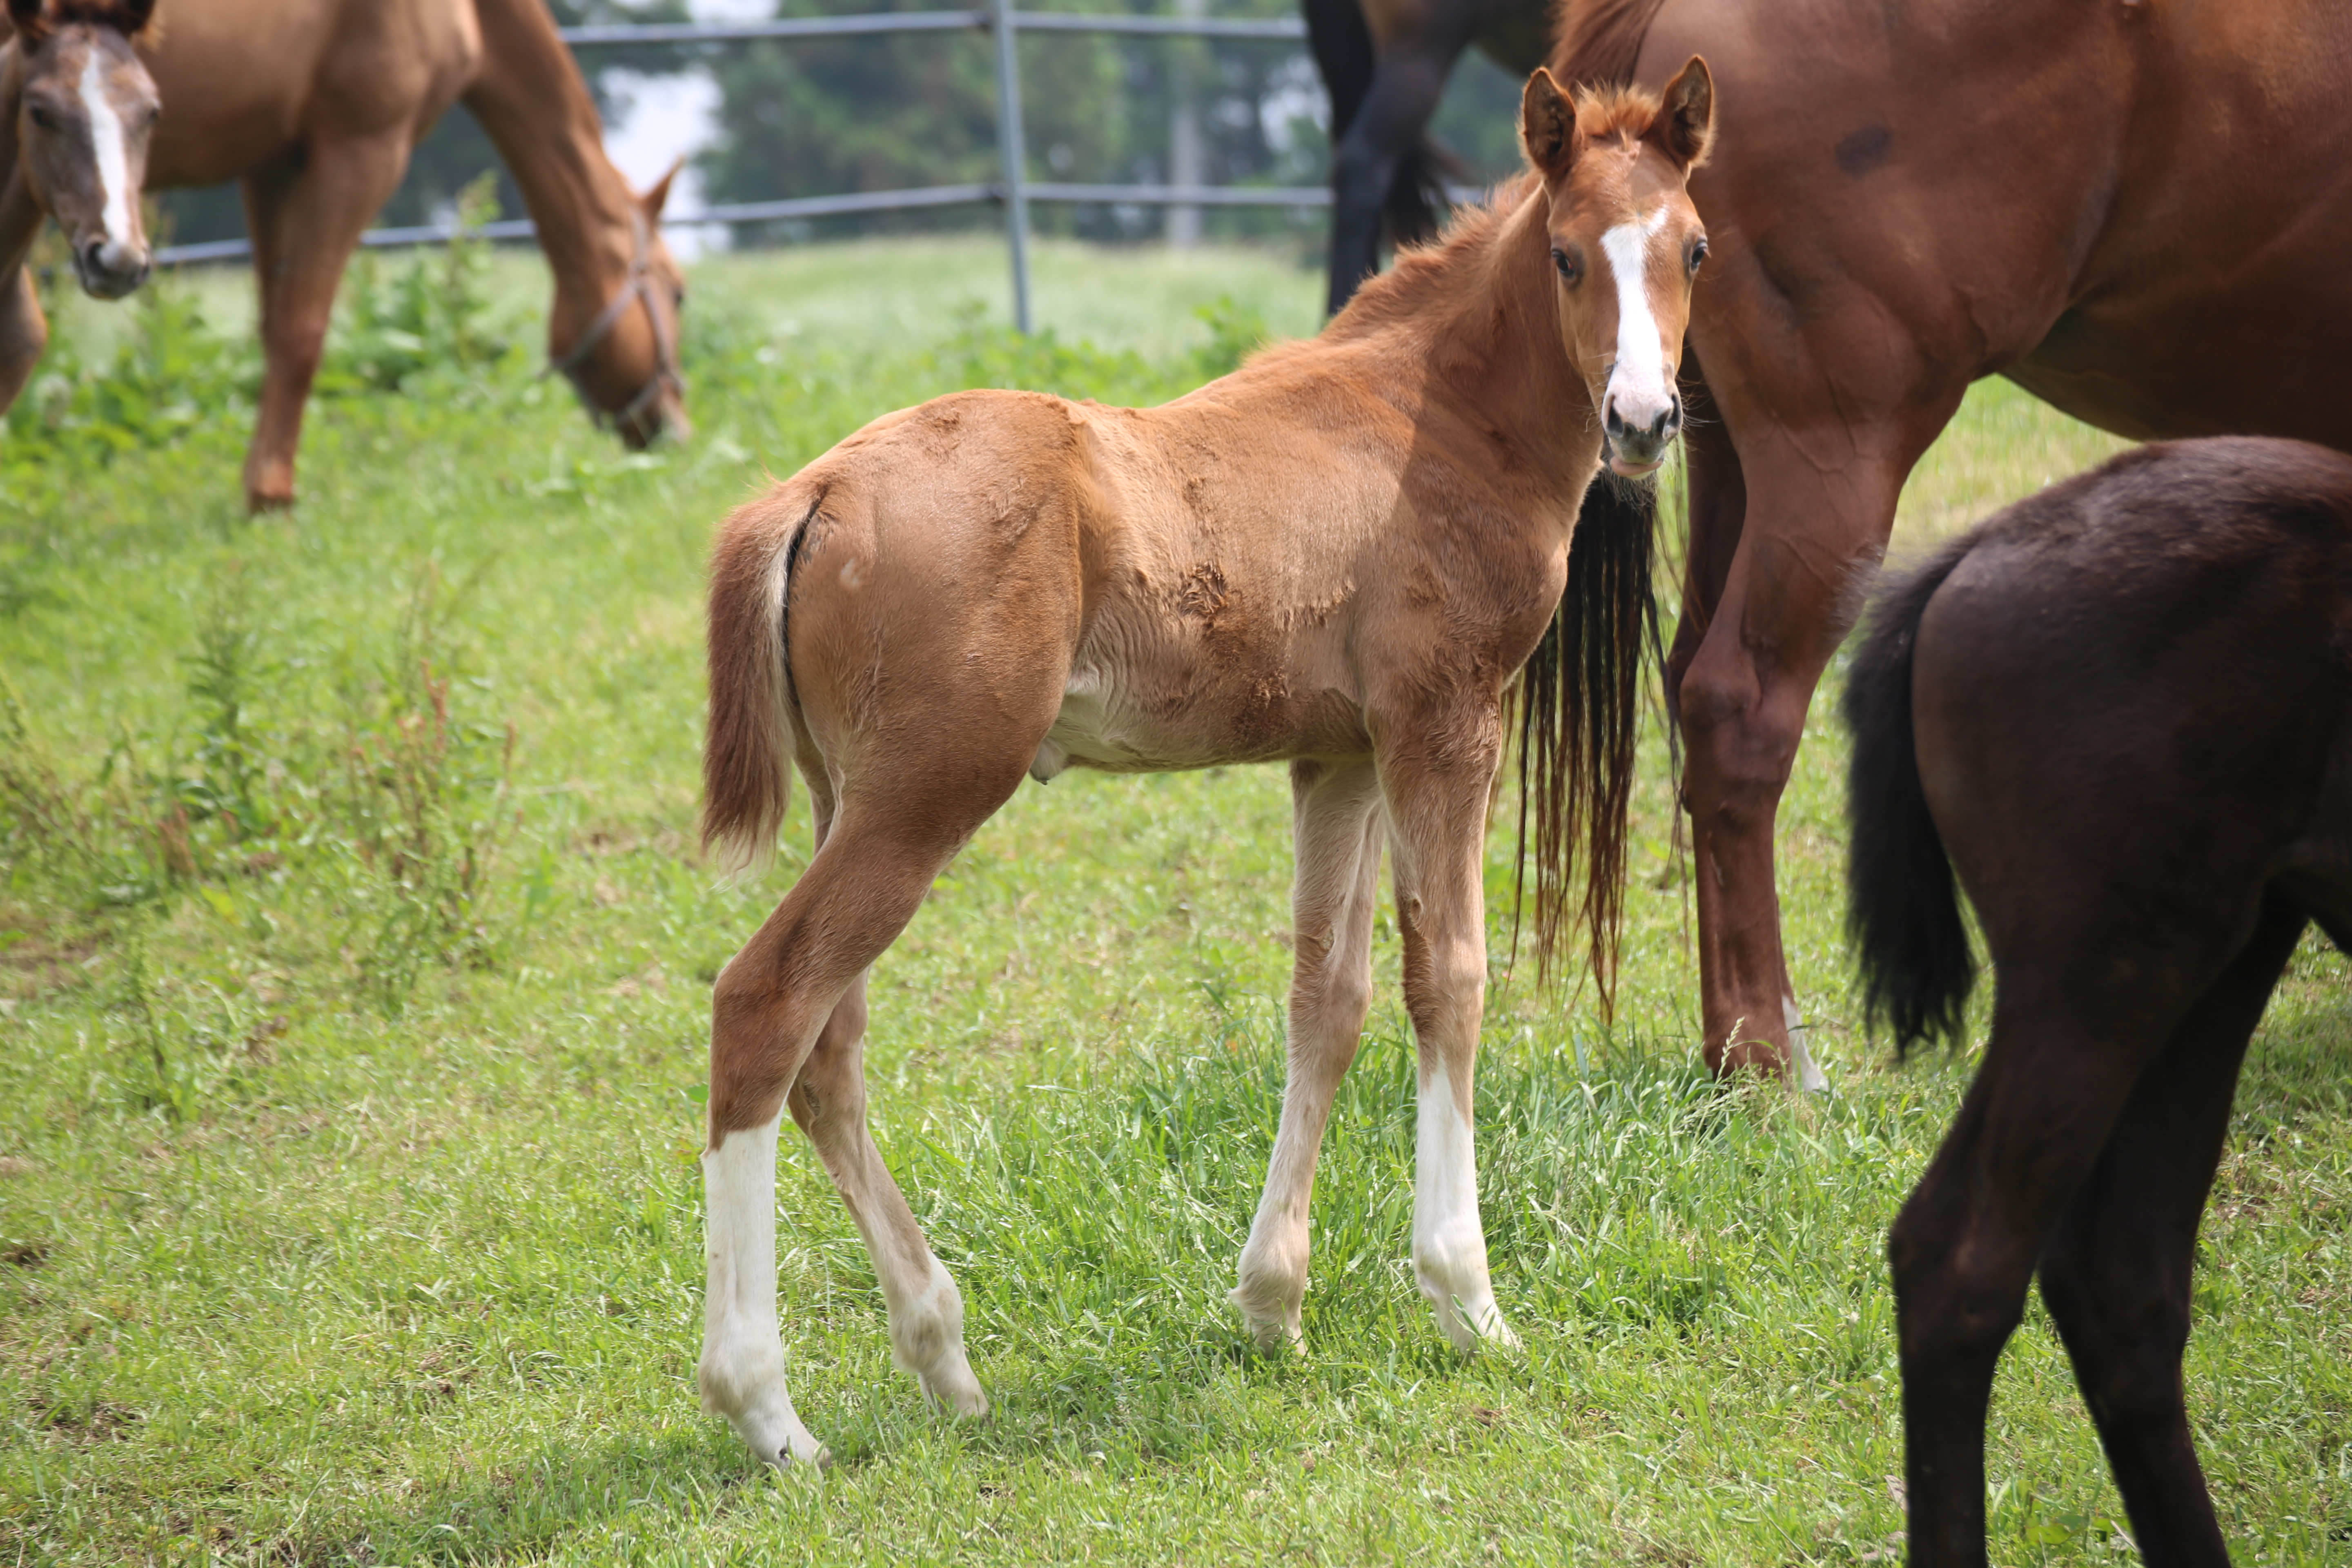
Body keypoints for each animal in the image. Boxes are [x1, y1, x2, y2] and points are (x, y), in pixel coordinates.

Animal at [691, 67, 1712, 1476]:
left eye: (1695, 250)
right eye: (1566, 254)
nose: (1644, 421)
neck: (1436, 418)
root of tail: (813, 488)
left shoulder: (1336, 758)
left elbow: (1327, 997)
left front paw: (1273, 1305)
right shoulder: (1445, 725)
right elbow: (1449, 977)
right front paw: (1470, 1300)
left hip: (859, 800)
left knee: (827, 1044)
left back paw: (945, 1359)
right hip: (923, 799)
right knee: (766, 1005)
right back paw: (769, 1408)